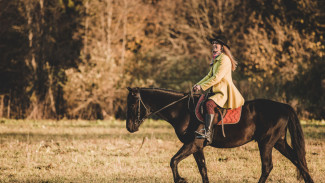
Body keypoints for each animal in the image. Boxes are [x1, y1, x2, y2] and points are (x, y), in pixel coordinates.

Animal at [125, 87, 312, 183]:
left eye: (133, 104)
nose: (129, 127)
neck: (183, 110)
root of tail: (283, 107)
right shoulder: (197, 147)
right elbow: (203, 169)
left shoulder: (193, 144)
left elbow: (173, 161)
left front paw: (180, 179)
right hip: (278, 142)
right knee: (299, 161)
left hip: (266, 143)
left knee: (267, 167)